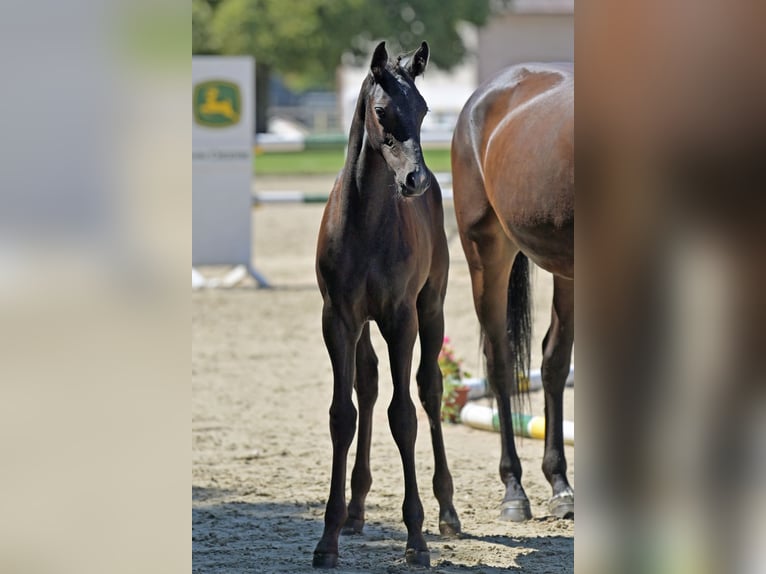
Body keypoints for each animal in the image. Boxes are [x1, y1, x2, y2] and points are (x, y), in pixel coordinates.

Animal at [312, 41, 461, 568]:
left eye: (424, 109)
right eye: (381, 111)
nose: (416, 179)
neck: (367, 223)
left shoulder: (401, 318)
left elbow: (405, 416)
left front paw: (415, 539)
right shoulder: (338, 319)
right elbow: (343, 415)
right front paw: (328, 538)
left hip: (432, 308)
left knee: (430, 390)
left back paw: (447, 511)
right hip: (362, 326)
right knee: (369, 384)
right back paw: (356, 511)